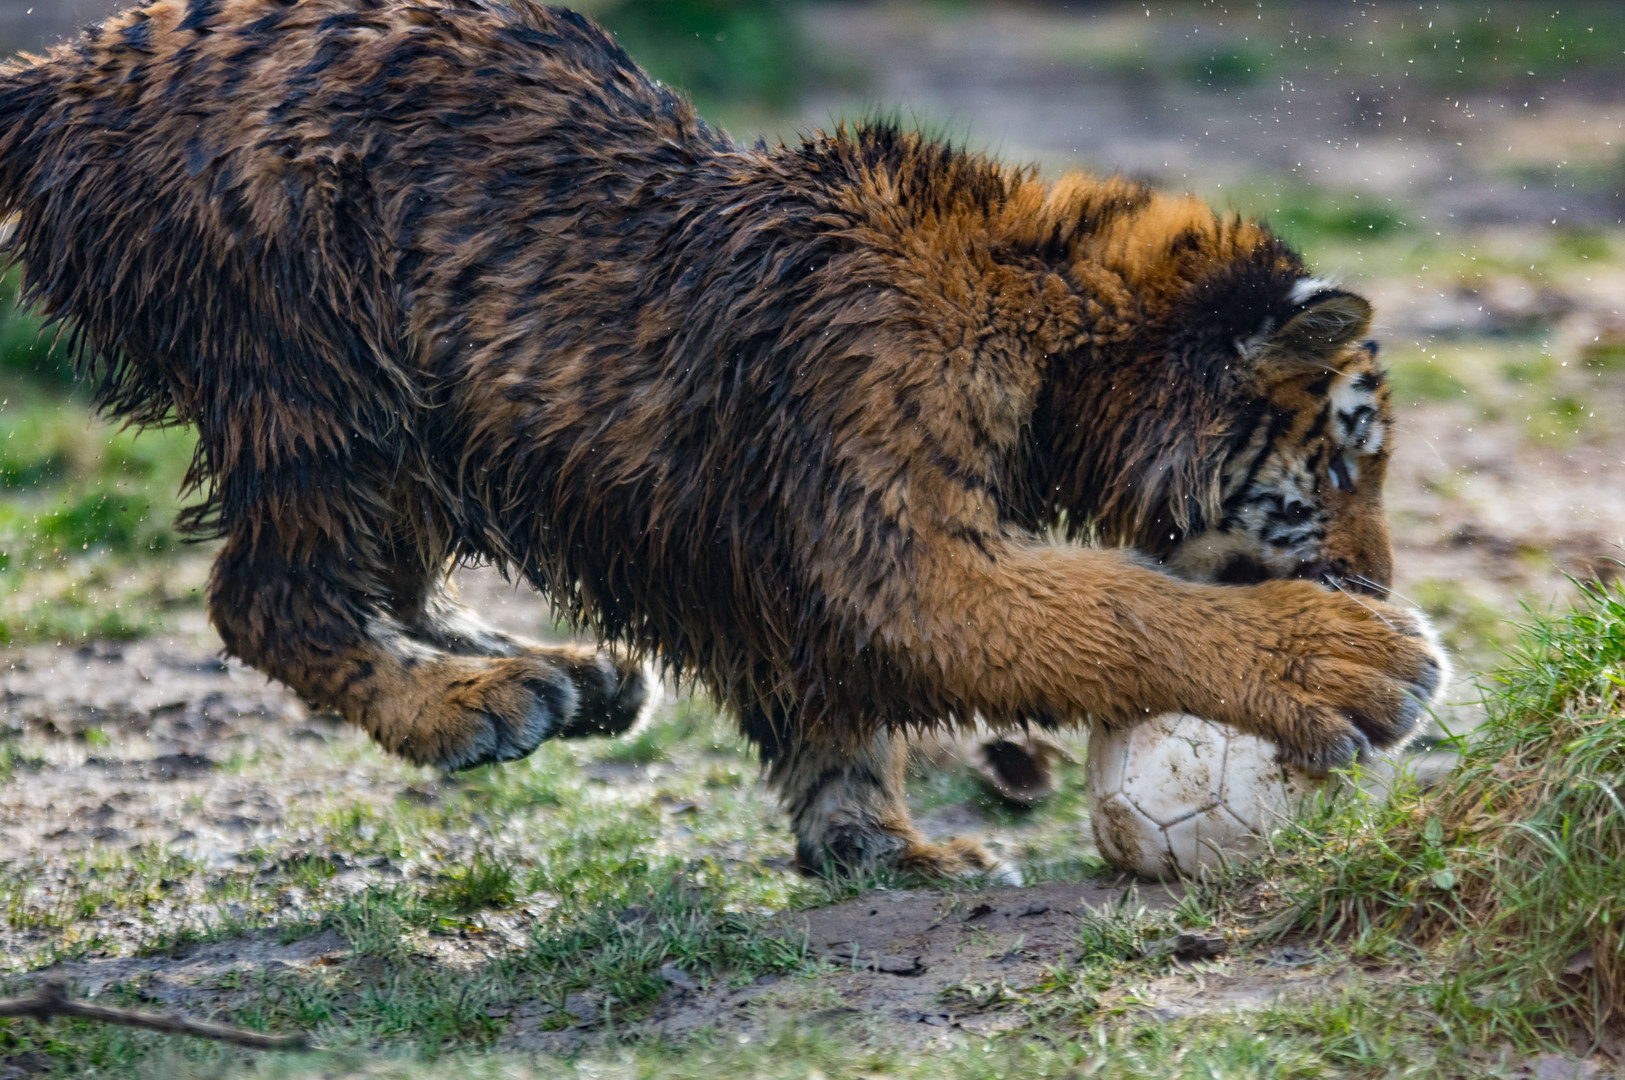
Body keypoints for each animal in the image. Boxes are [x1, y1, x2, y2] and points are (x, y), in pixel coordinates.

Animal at [0, 0, 1449, 876]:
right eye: (1340, 464)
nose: (1377, 581)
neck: (1055, 326)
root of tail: (66, 66)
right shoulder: (901, 557)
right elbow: (1122, 611)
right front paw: (1350, 660)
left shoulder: (813, 571)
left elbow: (836, 717)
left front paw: (884, 850)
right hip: (312, 368)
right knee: (269, 594)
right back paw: (475, 704)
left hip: (422, 415)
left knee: (374, 580)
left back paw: (559, 675)